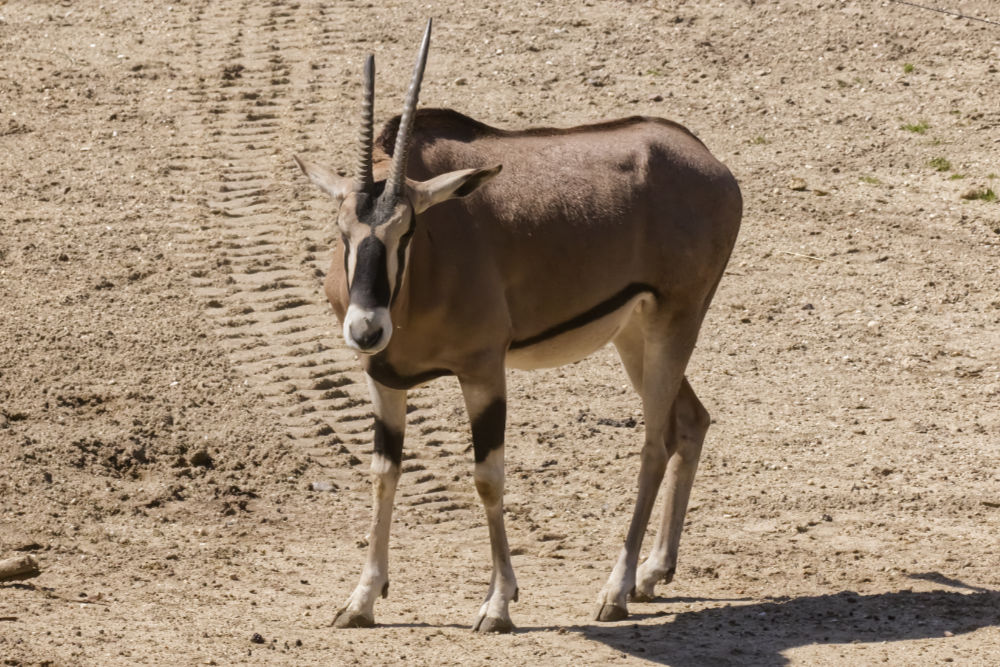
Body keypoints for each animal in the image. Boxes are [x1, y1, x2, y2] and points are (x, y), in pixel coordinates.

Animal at [292, 18, 740, 636]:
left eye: (408, 230)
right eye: (342, 231)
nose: (365, 329)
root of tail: (710, 164)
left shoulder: (484, 372)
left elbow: (487, 477)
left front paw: (498, 604)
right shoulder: (383, 377)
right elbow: (384, 474)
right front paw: (360, 600)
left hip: (676, 319)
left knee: (655, 441)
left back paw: (617, 589)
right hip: (635, 335)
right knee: (691, 421)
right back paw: (653, 573)